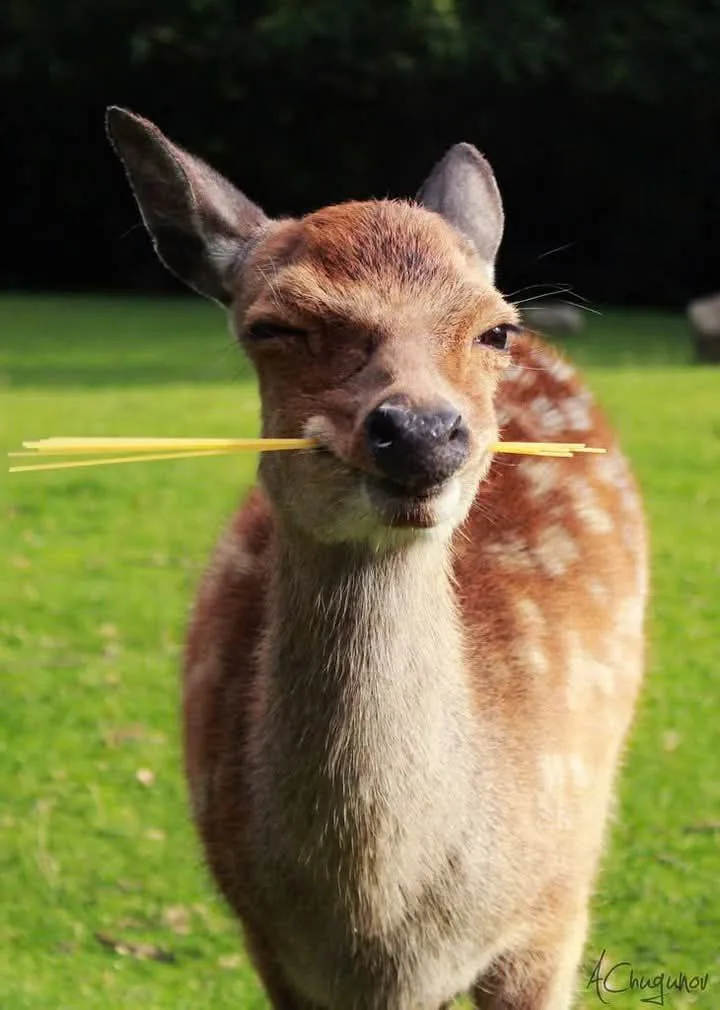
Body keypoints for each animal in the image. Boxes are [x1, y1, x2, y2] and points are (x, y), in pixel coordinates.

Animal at [107, 107, 648, 1010]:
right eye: (274, 326)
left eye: (494, 328)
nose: (421, 430)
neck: (387, 945)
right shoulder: (267, 942)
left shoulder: (553, 917)